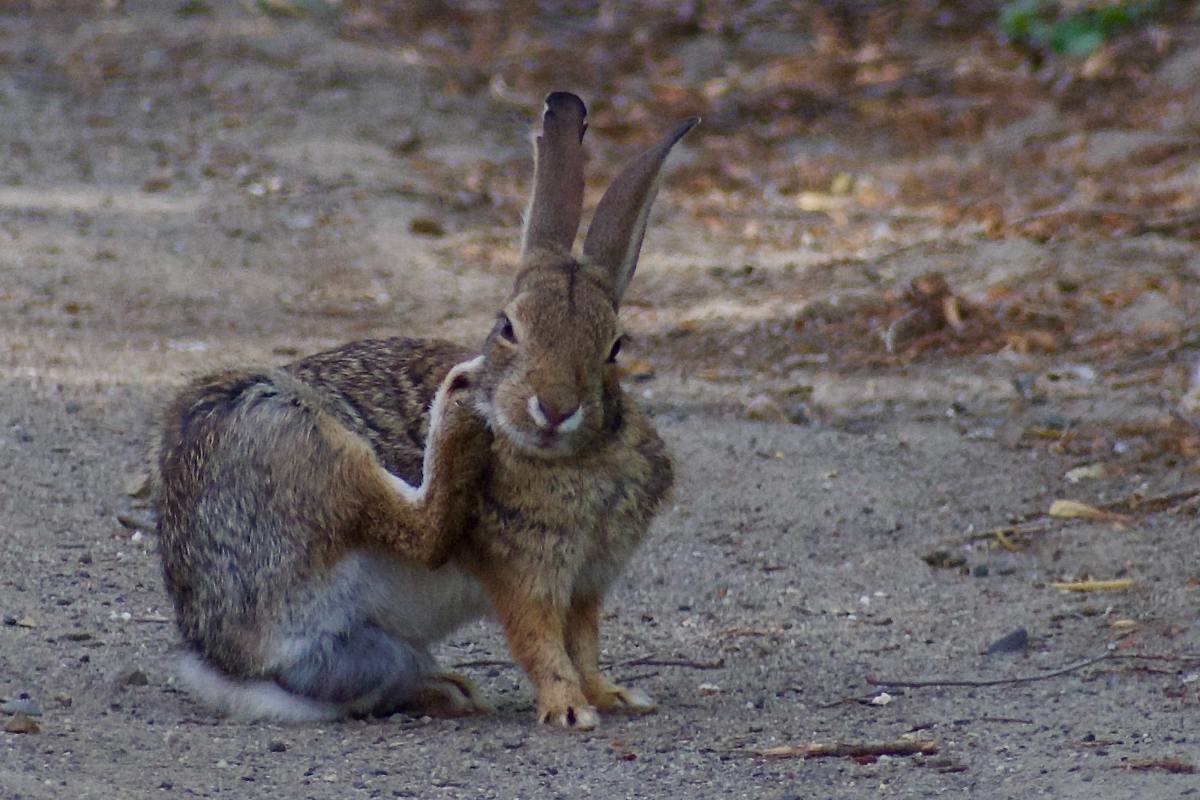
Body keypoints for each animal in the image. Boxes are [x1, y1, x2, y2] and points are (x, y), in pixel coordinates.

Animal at [156, 91, 697, 729]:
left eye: (615, 346)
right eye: (508, 328)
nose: (554, 408)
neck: (576, 458)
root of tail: (223, 655)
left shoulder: (588, 582)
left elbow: (584, 644)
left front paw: (612, 696)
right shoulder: (525, 574)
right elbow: (541, 643)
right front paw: (569, 711)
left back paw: (447, 690)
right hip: (293, 436)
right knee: (422, 531)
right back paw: (457, 406)